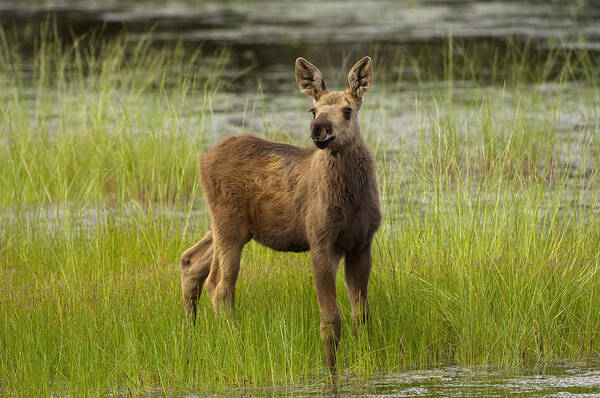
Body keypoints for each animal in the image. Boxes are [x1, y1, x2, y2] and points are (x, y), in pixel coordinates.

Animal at [180, 56, 382, 366]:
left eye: (347, 110)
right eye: (313, 109)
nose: (319, 128)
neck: (352, 200)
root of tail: (202, 158)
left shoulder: (362, 243)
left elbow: (361, 315)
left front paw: (365, 358)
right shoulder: (321, 242)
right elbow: (330, 320)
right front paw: (330, 366)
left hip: (228, 227)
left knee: (191, 261)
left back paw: (192, 334)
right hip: (229, 225)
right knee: (220, 285)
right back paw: (233, 342)